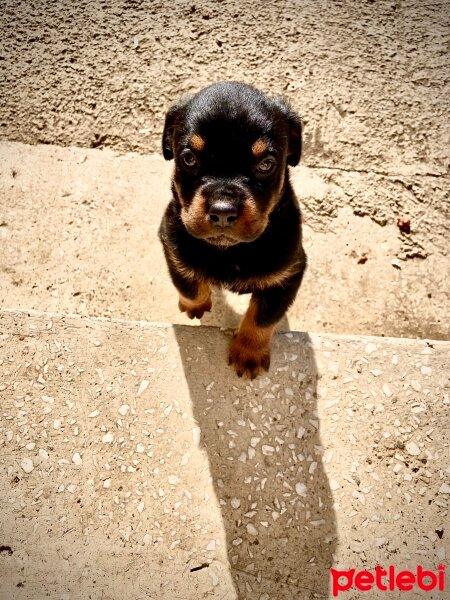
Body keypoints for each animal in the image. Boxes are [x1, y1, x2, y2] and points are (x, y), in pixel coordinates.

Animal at [157, 82, 306, 378]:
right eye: (188, 158)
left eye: (266, 164)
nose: (223, 211)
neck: (229, 251)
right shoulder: (173, 247)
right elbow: (188, 285)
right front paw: (195, 306)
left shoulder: (288, 274)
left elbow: (262, 318)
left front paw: (248, 354)